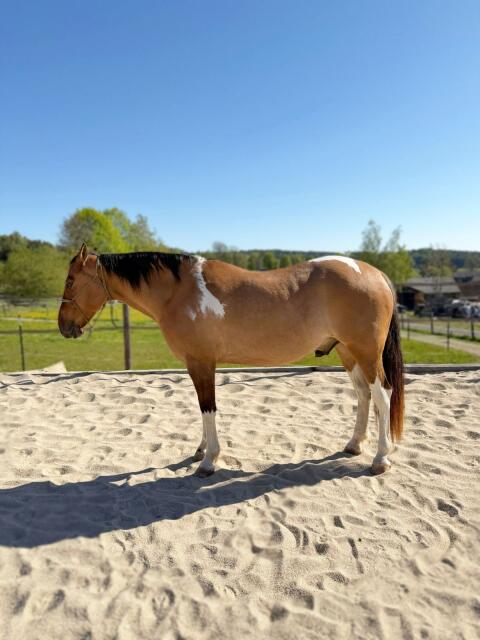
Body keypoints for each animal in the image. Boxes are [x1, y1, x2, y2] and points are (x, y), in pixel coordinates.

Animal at [58, 243, 404, 477]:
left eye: (71, 282)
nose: (64, 326)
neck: (178, 292)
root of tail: (375, 274)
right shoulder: (197, 364)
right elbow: (202, 408)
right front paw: (199, 450)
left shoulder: (201, 362)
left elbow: (207, 407)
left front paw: (209, 460)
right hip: (348, 352)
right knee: (363, 395)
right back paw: (354, 444)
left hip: (366, 352)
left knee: (382, 395)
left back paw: (380, 458)